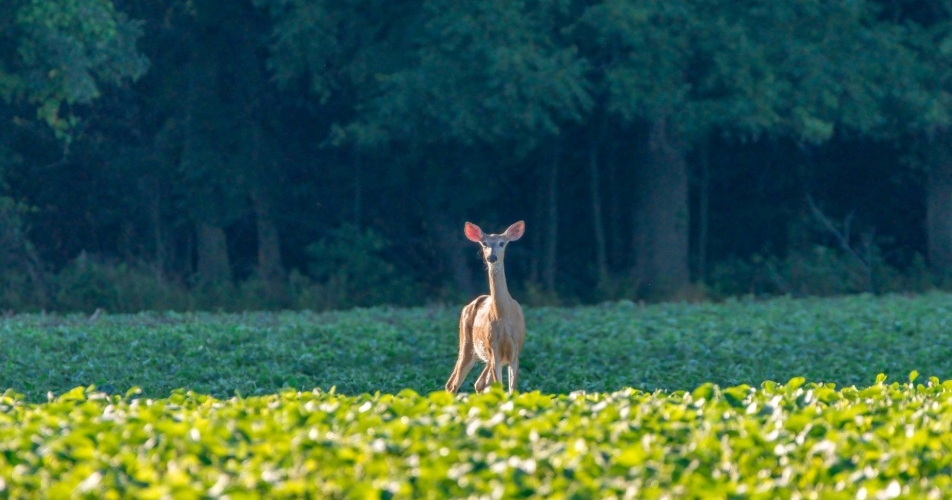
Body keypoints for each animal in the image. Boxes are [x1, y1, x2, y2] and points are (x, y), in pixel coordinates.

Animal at [445, 221, 526, 394]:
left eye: (502, 243)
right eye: (484, 243)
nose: (492, 257)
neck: (504, 318)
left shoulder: (515, 351)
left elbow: (512, 390)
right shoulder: (494, 350)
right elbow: (500, 388)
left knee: (479, 383)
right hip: (467, 343)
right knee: (453, 384)